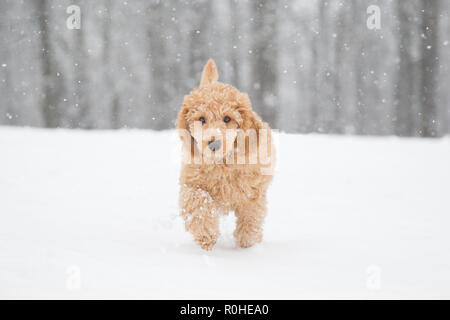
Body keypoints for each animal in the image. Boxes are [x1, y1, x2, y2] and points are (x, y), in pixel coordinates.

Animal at [176, 59, 274, 250]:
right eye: (201, 119)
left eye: (227, 119)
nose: (214, 144)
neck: (221, 163)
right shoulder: (191, 183)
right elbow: (198, 202)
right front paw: (206, 235)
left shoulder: (254, 189)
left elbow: (251, 214)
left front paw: (247, 240)